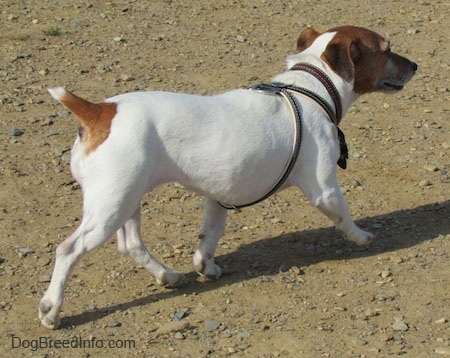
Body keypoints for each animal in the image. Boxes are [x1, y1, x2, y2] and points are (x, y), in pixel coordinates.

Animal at [40, 25, 416, 330]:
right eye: (386, 49)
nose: (415, 65)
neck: (313, 87)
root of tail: (98, 111)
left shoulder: (218, 197)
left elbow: (208, 239)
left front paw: (205, 267)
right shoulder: (324, 189)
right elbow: (344, 216)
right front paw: (362, 237)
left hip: (127, 198)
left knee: (131, 244)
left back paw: (168, 275)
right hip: (111, 206)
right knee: (68, 250)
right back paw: (51, 309)